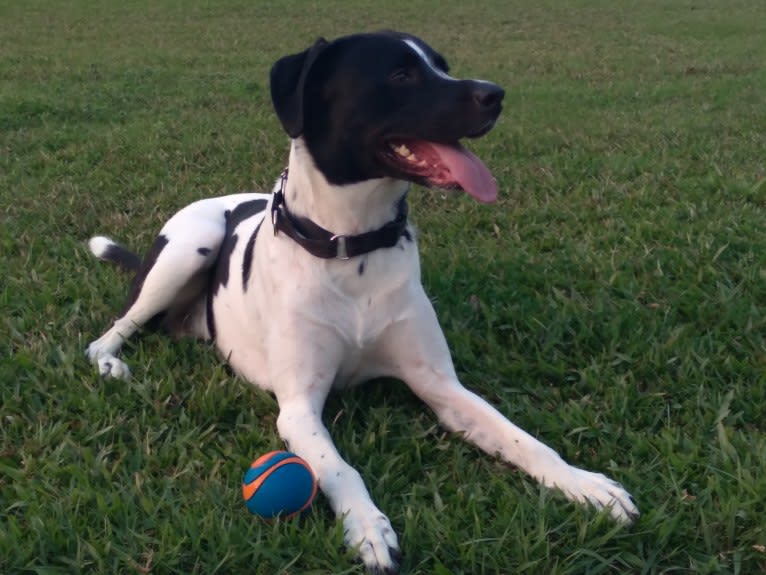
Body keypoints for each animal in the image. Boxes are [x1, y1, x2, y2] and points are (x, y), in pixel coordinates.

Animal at [84, 31, 640, 575]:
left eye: (441, 65)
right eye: (400, 74)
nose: (495, 94)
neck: (352, 246)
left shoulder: (440, 385)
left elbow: (522, 437)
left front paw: (585, 484)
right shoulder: (298, 408)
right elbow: (338, 469)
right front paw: (368, 527)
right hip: (191, 243)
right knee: (112, 329)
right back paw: (111, 362)